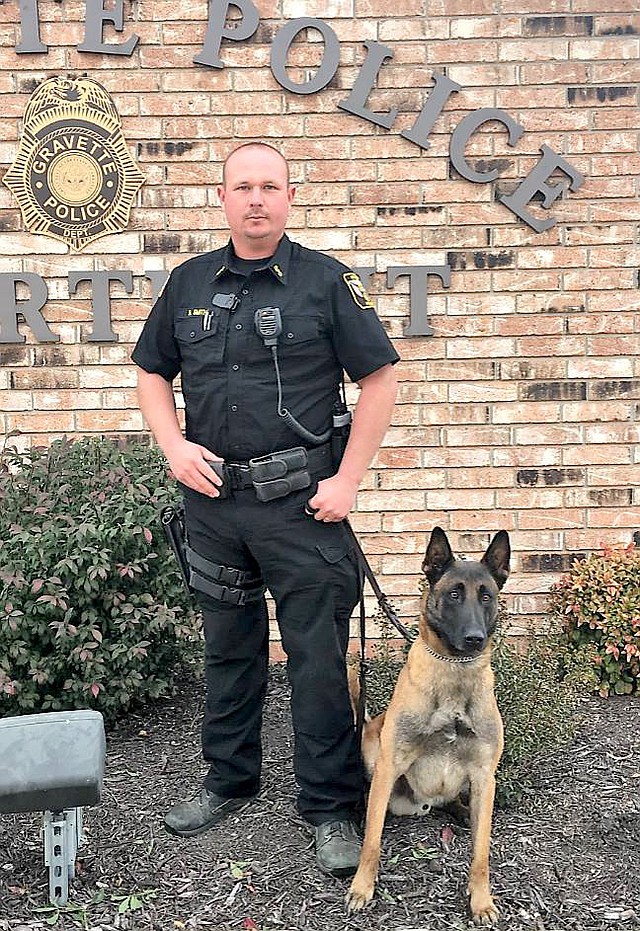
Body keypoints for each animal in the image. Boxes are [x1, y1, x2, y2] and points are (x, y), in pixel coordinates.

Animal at [344, 524, 510, 924]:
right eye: (454, 594)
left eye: (486, 596)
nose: (474, 639)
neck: (455, 672)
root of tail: (421, 804)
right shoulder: (390, 763)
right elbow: (372, 840)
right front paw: (362, 887)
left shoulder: (485, 775)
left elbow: (481, 853)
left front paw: (481, 901)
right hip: (373, 748)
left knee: (456, 804)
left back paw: (463, 812)